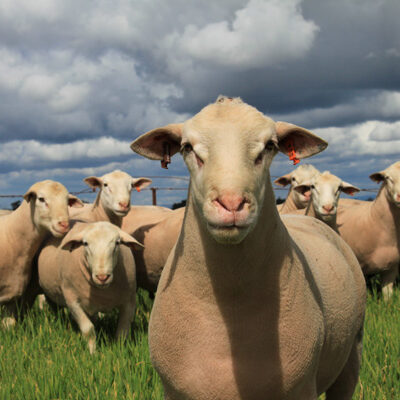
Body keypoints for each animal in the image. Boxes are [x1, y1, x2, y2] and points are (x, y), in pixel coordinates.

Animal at [36, 222, 142, 354]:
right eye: (85, 243)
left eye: (117, 243)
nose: (102, 277)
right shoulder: (73, 302)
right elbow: (88, 330)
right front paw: (93, 353)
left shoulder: (129, 302)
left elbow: (122, 332)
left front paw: (120, 350)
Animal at [130, 95, 368, 398]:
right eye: (187, 147)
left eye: (270, 145)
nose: (231, 203)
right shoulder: (173, 391)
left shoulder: (302, 387)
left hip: (353, 351)